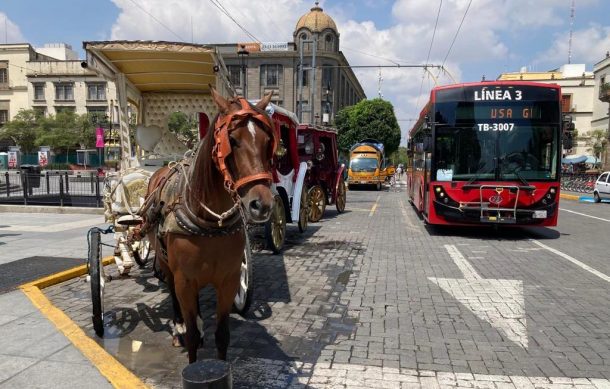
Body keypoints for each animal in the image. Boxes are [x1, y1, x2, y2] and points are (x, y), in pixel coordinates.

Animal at [144, 87, 274, 360]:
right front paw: (188, 336)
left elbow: (222, 335)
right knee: (173, 293)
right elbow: (192, 335)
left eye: (268, 142)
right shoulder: (184, 280)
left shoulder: (229, 280)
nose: (262, 204)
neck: (211, 223)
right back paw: (178, 327)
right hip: (166, 262)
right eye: (232, 140)